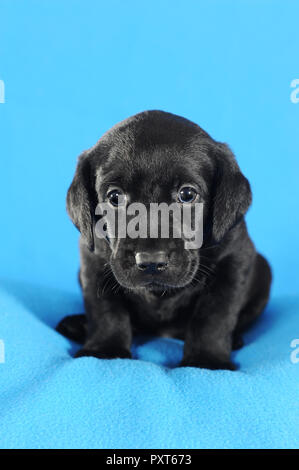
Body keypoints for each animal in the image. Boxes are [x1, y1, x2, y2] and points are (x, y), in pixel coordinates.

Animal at [56, 111, 274, 370]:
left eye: (187, 194)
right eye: (115, 197)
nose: (151, 261)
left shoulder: (234, 261)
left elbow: (214, 315)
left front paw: (206, 359)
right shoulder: (94, 261)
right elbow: (105, 309)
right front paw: (105, 349)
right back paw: (77, 324)